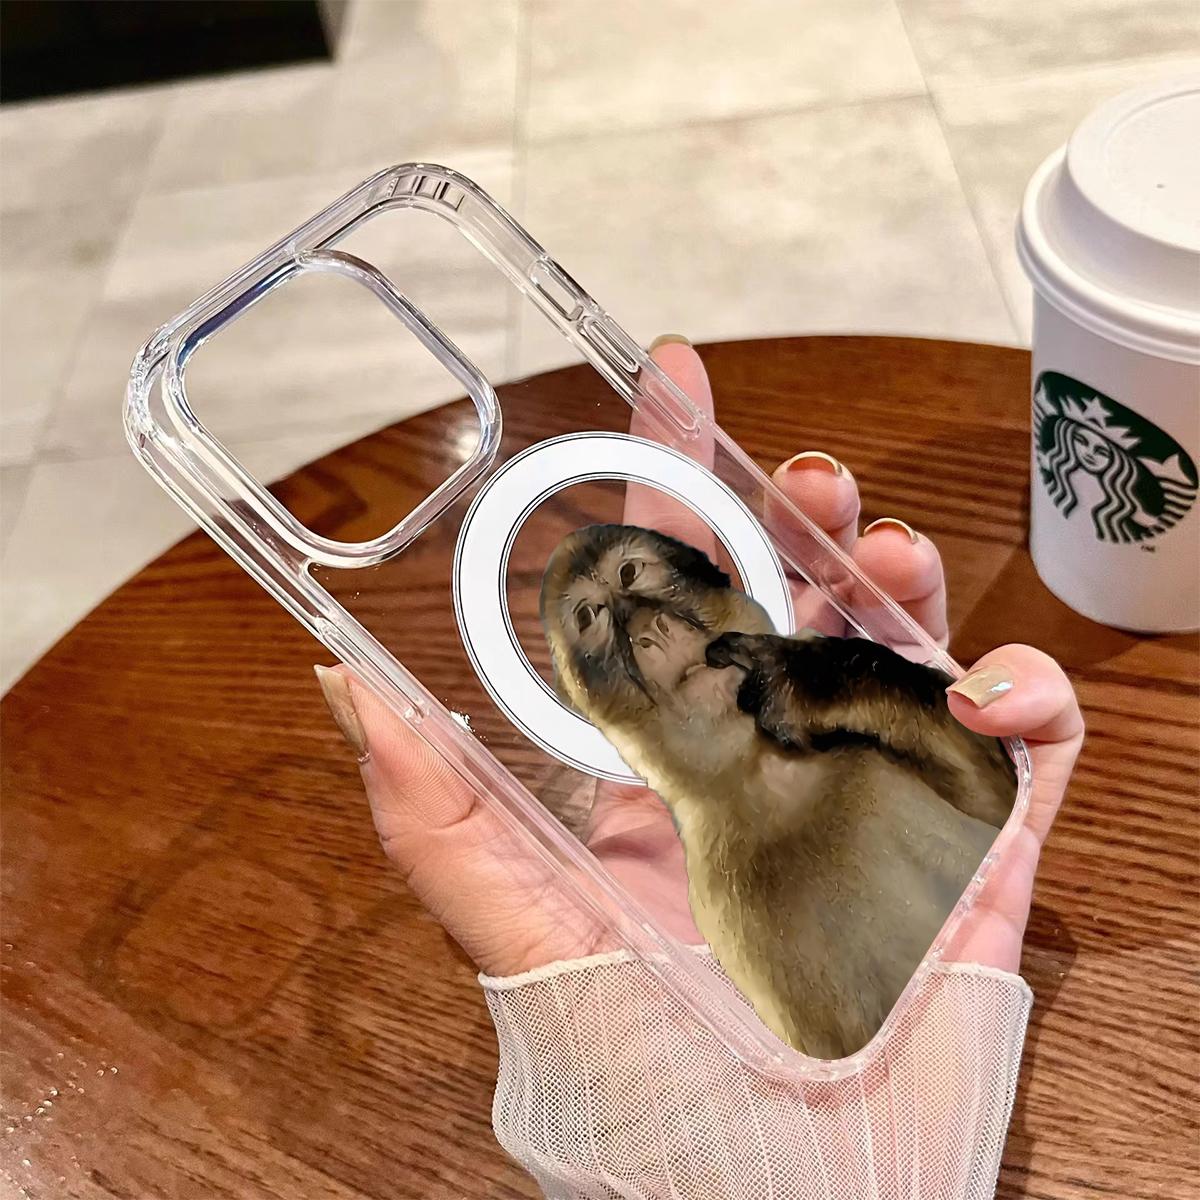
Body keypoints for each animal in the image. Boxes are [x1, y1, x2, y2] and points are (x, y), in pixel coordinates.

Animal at [540, 524, 1017, 1059]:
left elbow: (1001, 803)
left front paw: (807, 678)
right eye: (591, 616)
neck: (763, 771)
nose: (649, 629)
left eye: (629, 572)